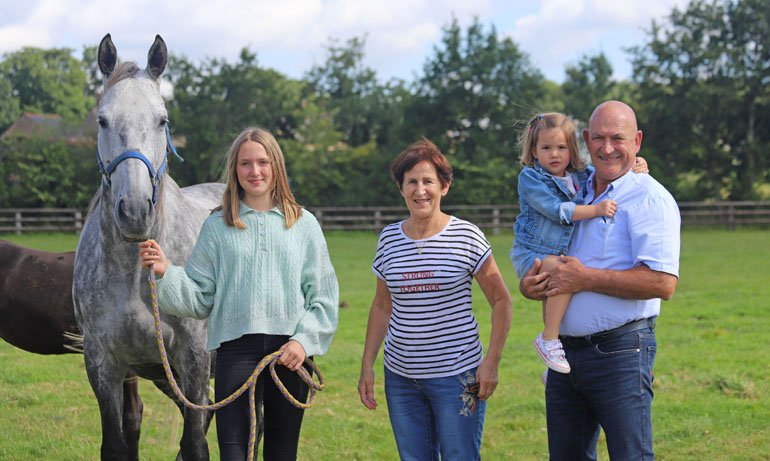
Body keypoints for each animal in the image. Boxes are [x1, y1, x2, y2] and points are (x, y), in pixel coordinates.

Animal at [73, 34, 224, 460]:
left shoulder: (194, 360)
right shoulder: (105, 365)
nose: (136, 210)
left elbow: (196, 445)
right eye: (102, 120)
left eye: (163, 120)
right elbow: (117, 443)